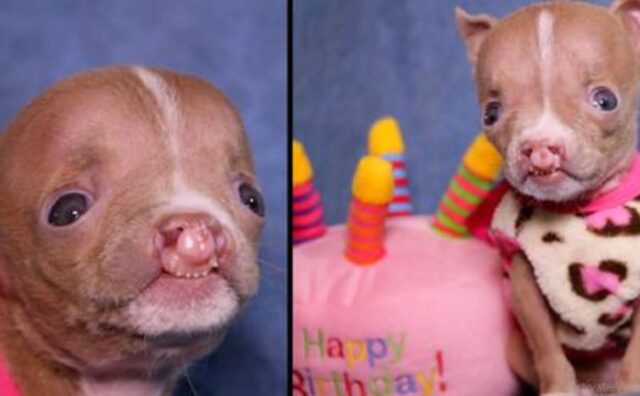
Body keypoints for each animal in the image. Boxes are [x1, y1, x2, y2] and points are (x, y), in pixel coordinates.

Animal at [458, 0, 640, 392]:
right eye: (490, 114)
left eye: (606, 100)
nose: (540, 147)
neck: (581, 207)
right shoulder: (523, 284)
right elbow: (546, 348)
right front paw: (559, 388)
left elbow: (638, 351)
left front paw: (632, 384)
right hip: (514, 347)